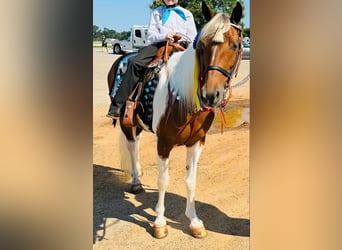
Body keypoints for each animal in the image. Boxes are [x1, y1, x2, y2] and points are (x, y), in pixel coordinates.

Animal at [107, 0, 243, 239]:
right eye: (202, 46)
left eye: (235, 45)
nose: (211, 95)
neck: (183, 99)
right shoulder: (164, 143)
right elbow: (163, 181)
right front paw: (159, 222)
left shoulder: (197, 142)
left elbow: (191, 181)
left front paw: (195, 222)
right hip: (126, 122)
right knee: (132, 146)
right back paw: (136, 181)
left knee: (137, 144)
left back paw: (138, 171)